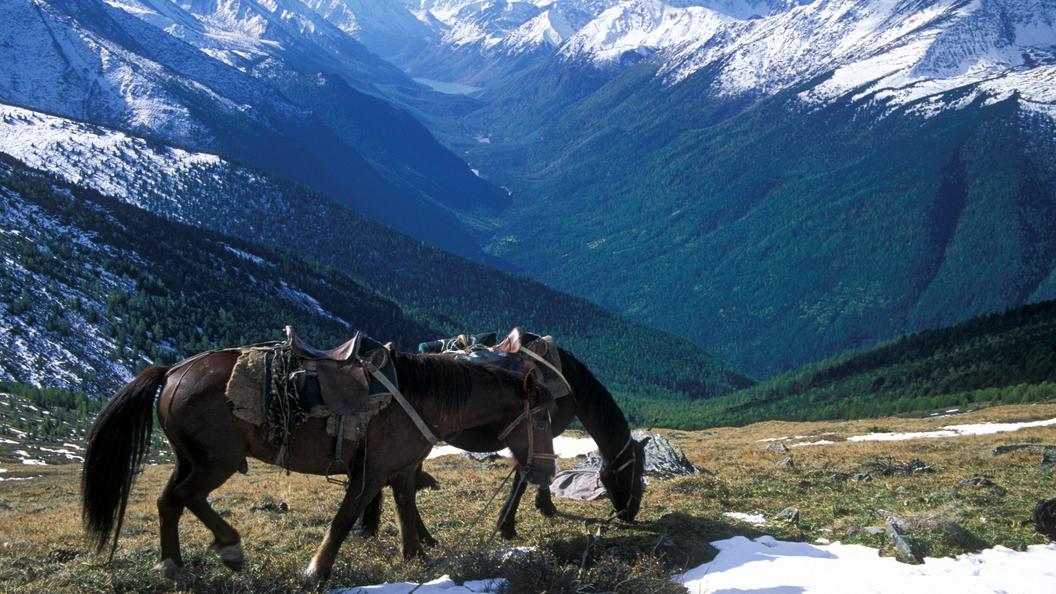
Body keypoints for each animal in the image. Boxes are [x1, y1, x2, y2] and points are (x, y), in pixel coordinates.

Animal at [78, 344, 557, 579]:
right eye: (541, 420)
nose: (546, 472)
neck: (420, 398)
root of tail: (173, 372)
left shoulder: (401, 472)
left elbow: (405, 513)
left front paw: (415, 560)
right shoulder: (369, 474)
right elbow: (343, 520)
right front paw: (316, 570)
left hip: (188, 459)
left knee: (168, 503)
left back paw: (173, 567)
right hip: (217, 463)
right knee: (186, 498)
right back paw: (228, 548)